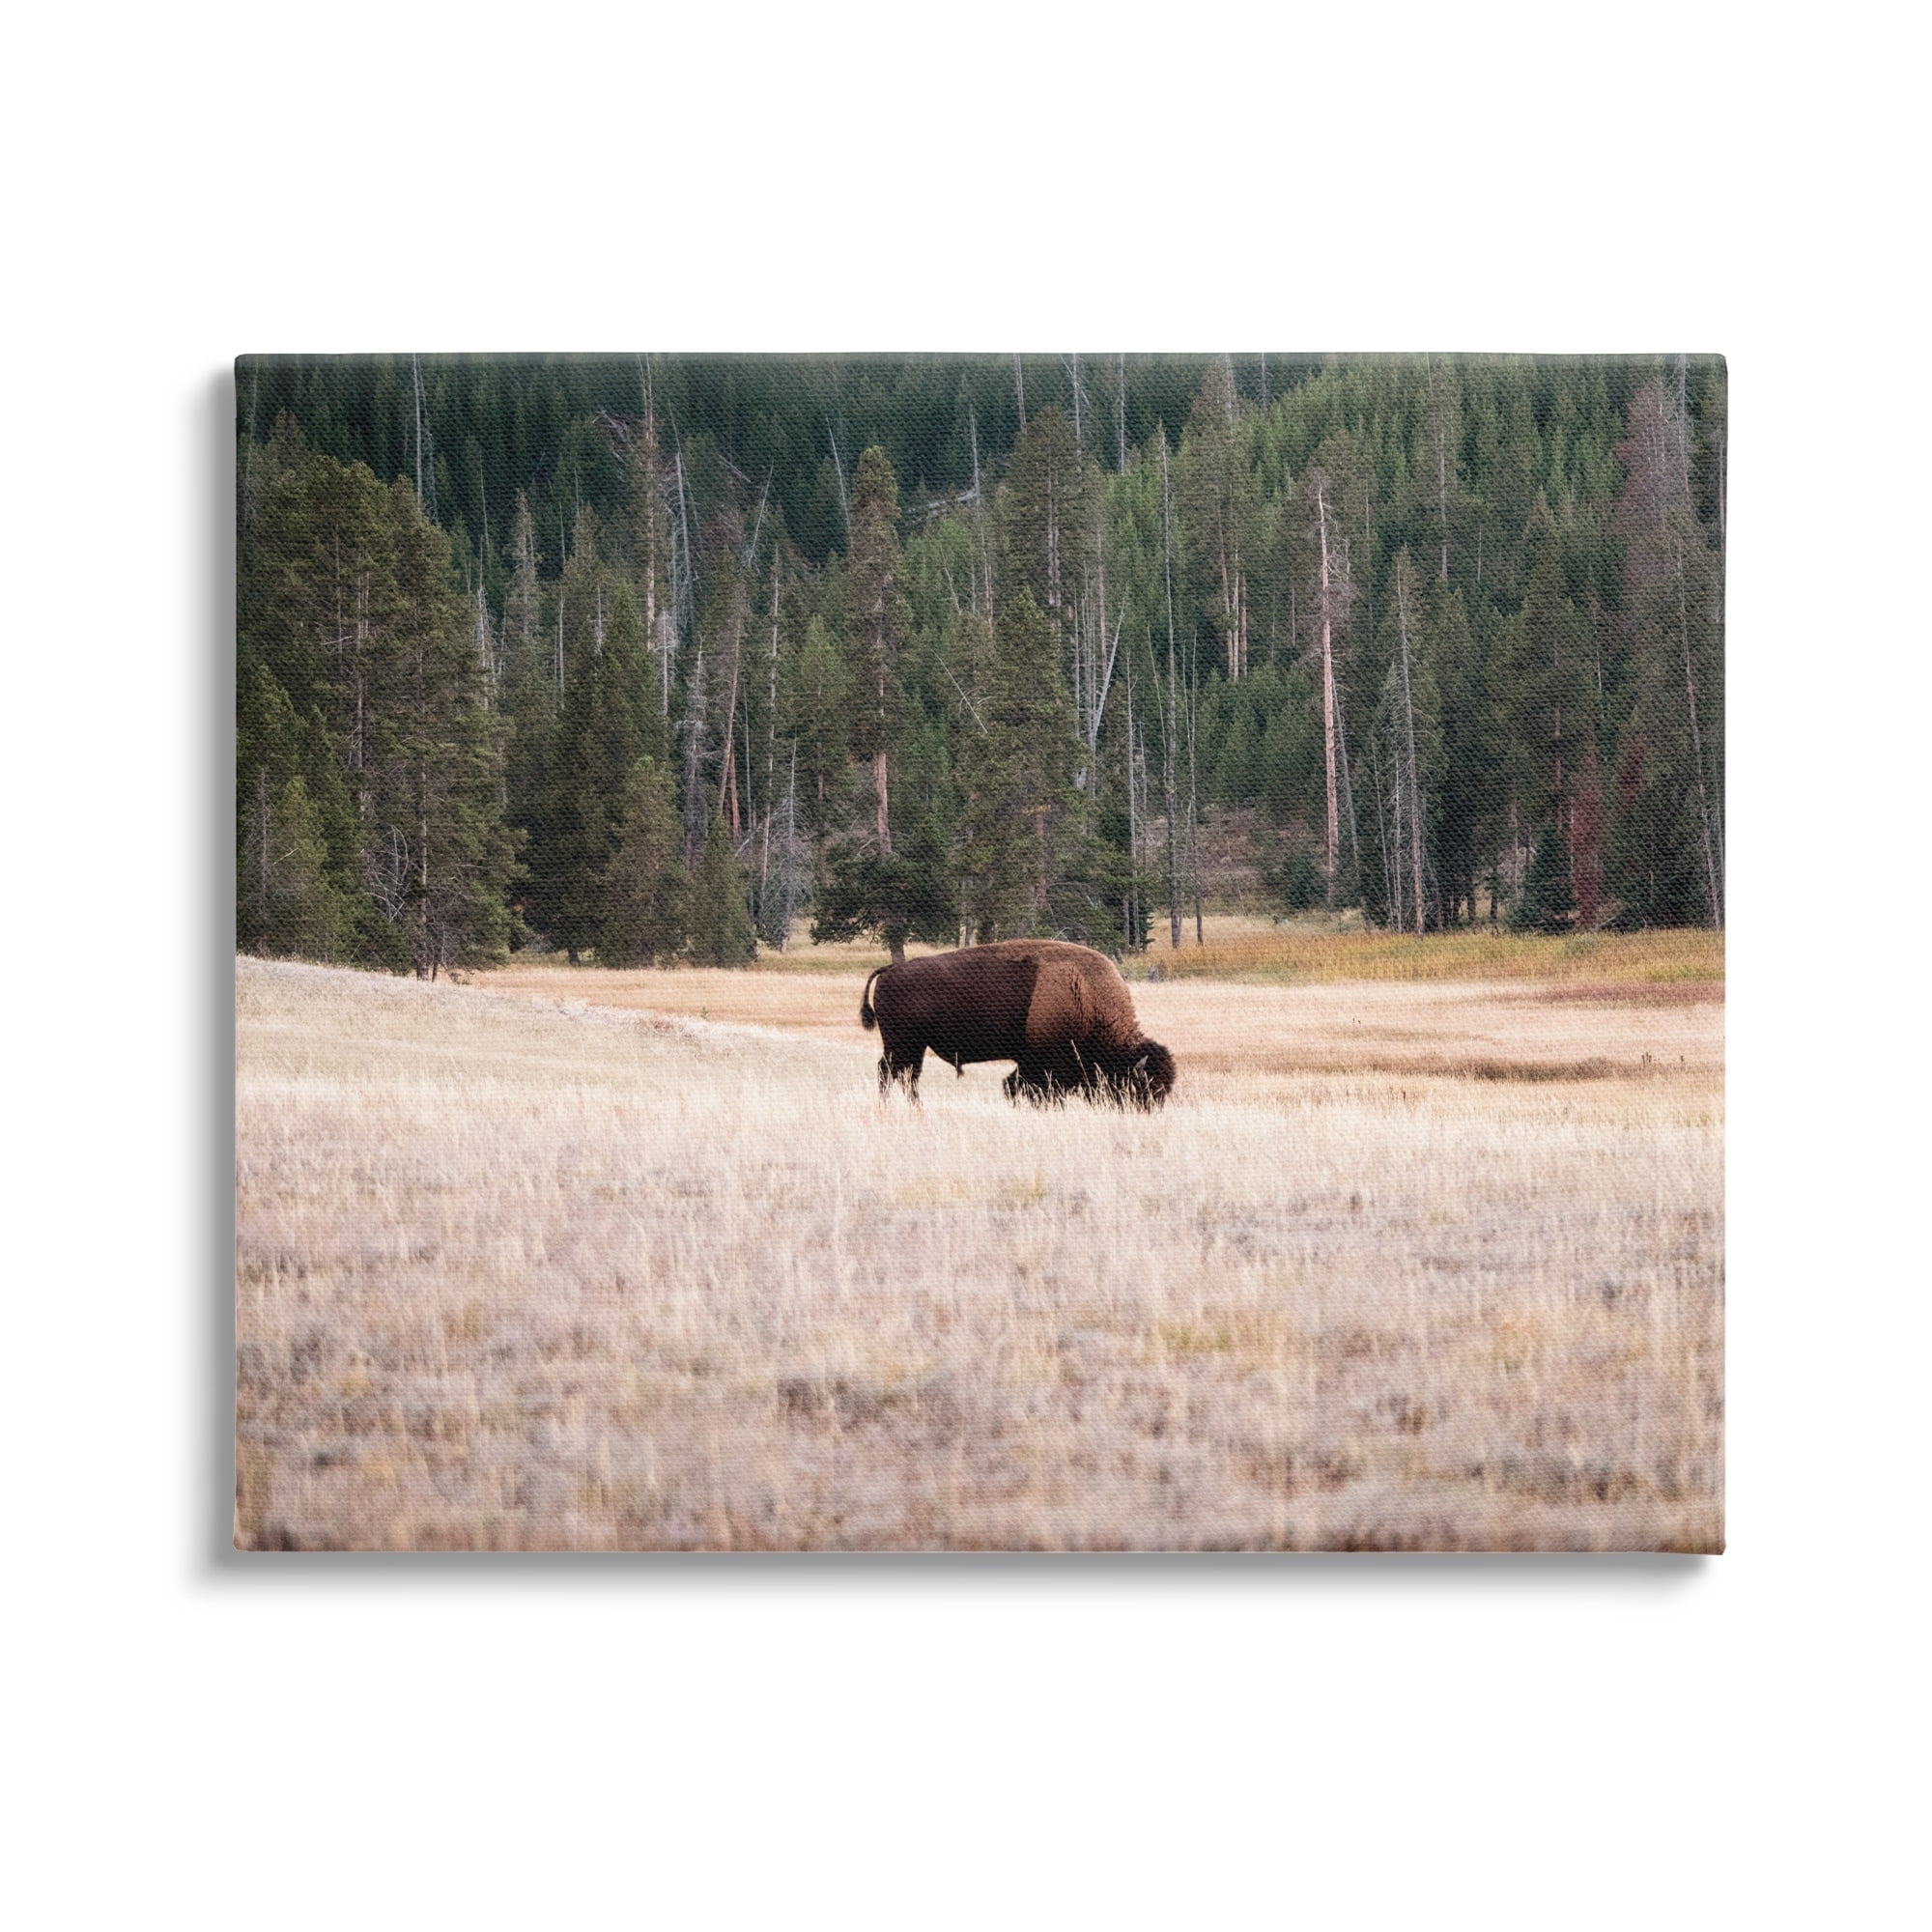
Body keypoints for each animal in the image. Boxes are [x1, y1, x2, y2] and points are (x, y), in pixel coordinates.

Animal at [859, 940, 1176, 1109]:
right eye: (1142, 1088)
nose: (1148, 1112)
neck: (1086, 994)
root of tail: (891, 970)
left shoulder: (1029, 1062)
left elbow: (1013, 1085)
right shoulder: (1046, 1065)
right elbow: (1032, 1089)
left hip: (913, 1046)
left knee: (906, 1076)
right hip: (902, 1044)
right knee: (890, 1073)